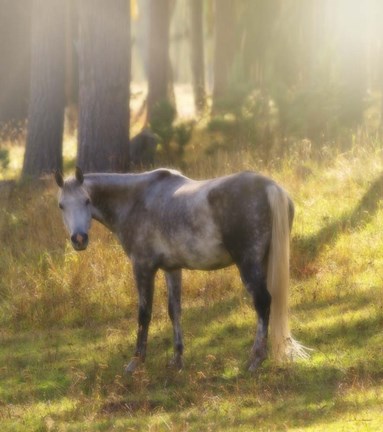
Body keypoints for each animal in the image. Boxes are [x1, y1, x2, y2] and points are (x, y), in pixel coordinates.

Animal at [54, 167, 308, 372]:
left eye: (87, 201)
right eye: (61, 205)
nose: (79, 239)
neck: (136, 201)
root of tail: (270, 187)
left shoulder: (143, 267)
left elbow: (144, 314)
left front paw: (136, 362)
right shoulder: (172, 269)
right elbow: (174, 311)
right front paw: (177, 360)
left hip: (249, 264)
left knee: (263, 303)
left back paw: (255, 360)